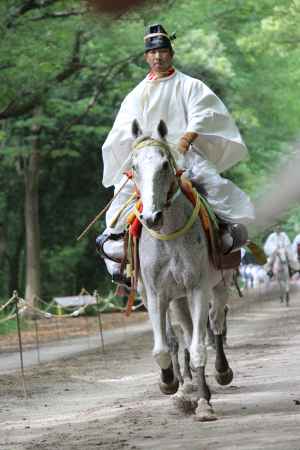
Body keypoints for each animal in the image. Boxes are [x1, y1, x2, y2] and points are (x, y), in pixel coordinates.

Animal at [132, 119, 234, 422]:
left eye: (165, 164)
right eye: (133, 167)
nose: (151, 217)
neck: (169, 235)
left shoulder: (197, 288)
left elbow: (199, 348)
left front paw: (203, 405)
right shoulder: (156, 294)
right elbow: (163, 348)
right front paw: (170, 383)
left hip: (220, 284)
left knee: (215, 323)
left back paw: (221, 372)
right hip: (176, 299)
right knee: (186, 334)